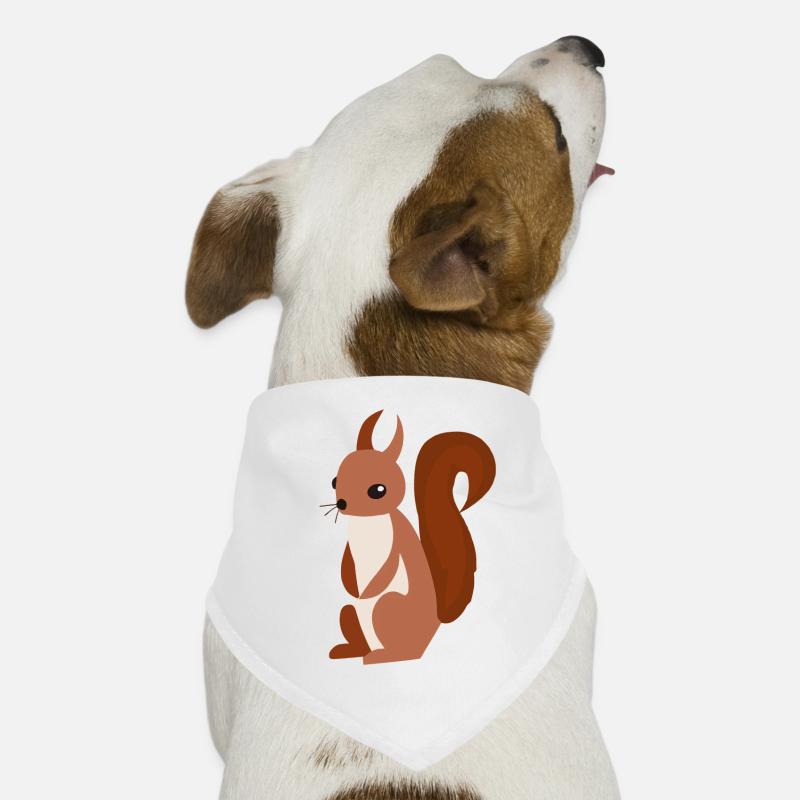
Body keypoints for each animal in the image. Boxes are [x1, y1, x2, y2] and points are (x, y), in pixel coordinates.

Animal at [327, 410, 496, 665]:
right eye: (335, 480)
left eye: (378, 490)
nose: (342, 503)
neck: (366, 523)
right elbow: (346, 563)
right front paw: (353, 586)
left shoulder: (396, 540)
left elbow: (387, 569)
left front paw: (368, 590)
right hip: (350, 612)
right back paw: (351, 650)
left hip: (387, 608)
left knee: (404, 652)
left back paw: (382, 655)